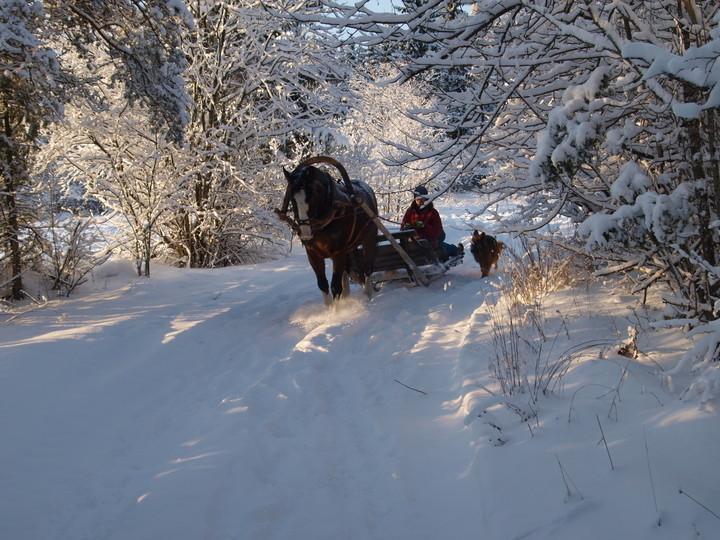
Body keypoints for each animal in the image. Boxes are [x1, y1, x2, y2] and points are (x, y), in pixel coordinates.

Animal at [276, 155, 380, 304]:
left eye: (314, 194)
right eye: (291, 198)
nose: (305, 233)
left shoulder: (338, 253)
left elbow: (335, 286)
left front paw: (336, 309)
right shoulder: (313, 254)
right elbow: (323, 284)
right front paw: (331, 307)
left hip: (369, 239)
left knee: (367, 268)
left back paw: (367, 294)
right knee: (346, 271)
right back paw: (347, 296)